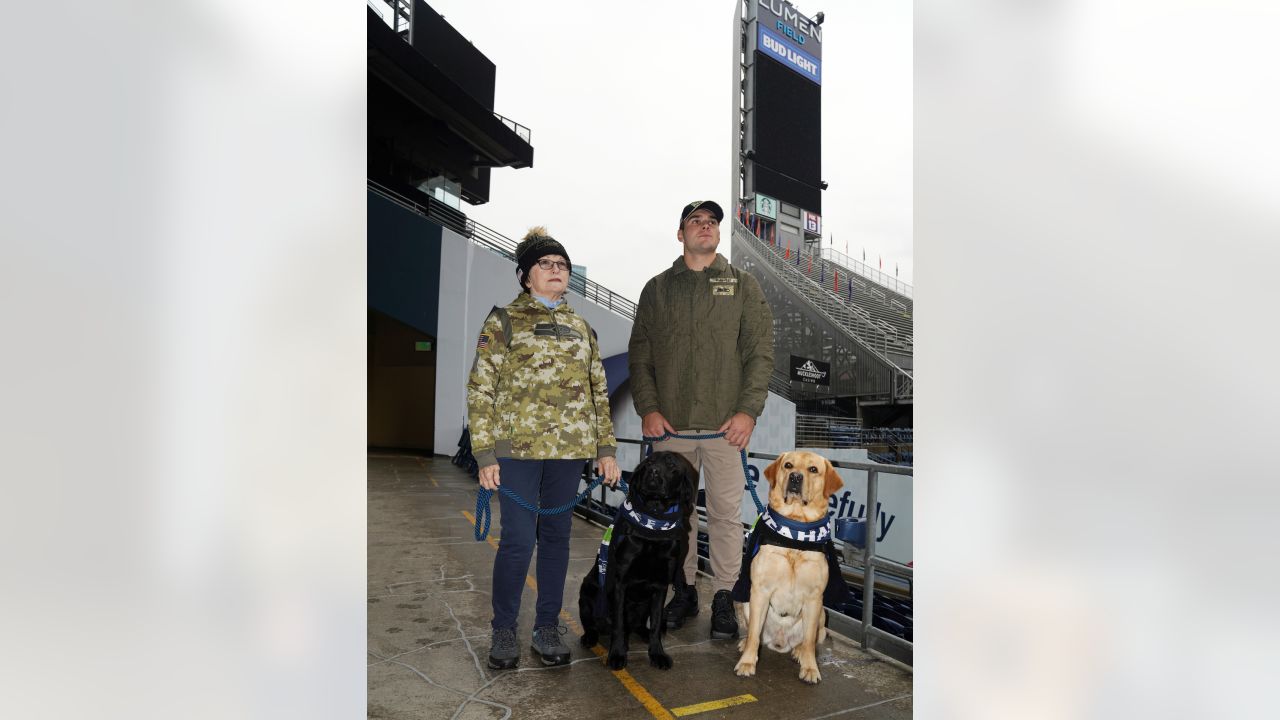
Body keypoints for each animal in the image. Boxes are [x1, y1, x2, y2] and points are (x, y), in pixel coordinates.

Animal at [581, 450, 701, 671]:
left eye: (672, 465)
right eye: (649, 462)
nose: (653, 471)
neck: (654, 521)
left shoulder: (661, 585)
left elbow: (656, 623)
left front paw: (657, 653)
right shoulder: (620, 582)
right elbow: (619, 625)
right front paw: (617, 654)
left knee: (640, 625)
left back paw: (644, 634)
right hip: (587, 590)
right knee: (593, 623)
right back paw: (590, 637)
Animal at [737, 448, 844, 681]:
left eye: (813, 469)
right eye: (788, 465)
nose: (795, 477)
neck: (795, 529)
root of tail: (779, 643)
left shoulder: (814, 597)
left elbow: (809, 641)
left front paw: (810, 668)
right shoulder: (760, 590)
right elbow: (753, 635)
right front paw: (747, 662)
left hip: (822, 615)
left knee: (807, 641)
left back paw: (798, 652)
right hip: (748, 603)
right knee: (754, 634)